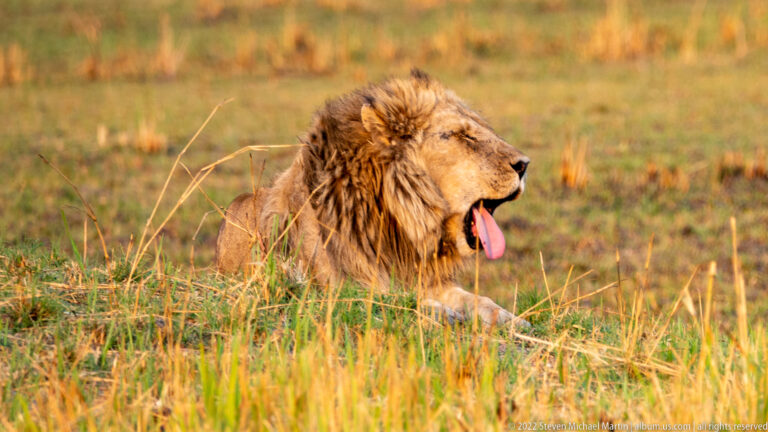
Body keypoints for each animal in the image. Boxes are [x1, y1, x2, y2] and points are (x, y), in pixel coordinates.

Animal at [216, 69, 530, 327]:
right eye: (463, 136)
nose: (524, 165)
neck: (398, 225)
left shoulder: (422, 277)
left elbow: (476, 299)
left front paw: (512, 319)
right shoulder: (337, 287)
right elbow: (393, 299)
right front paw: (443, 313)